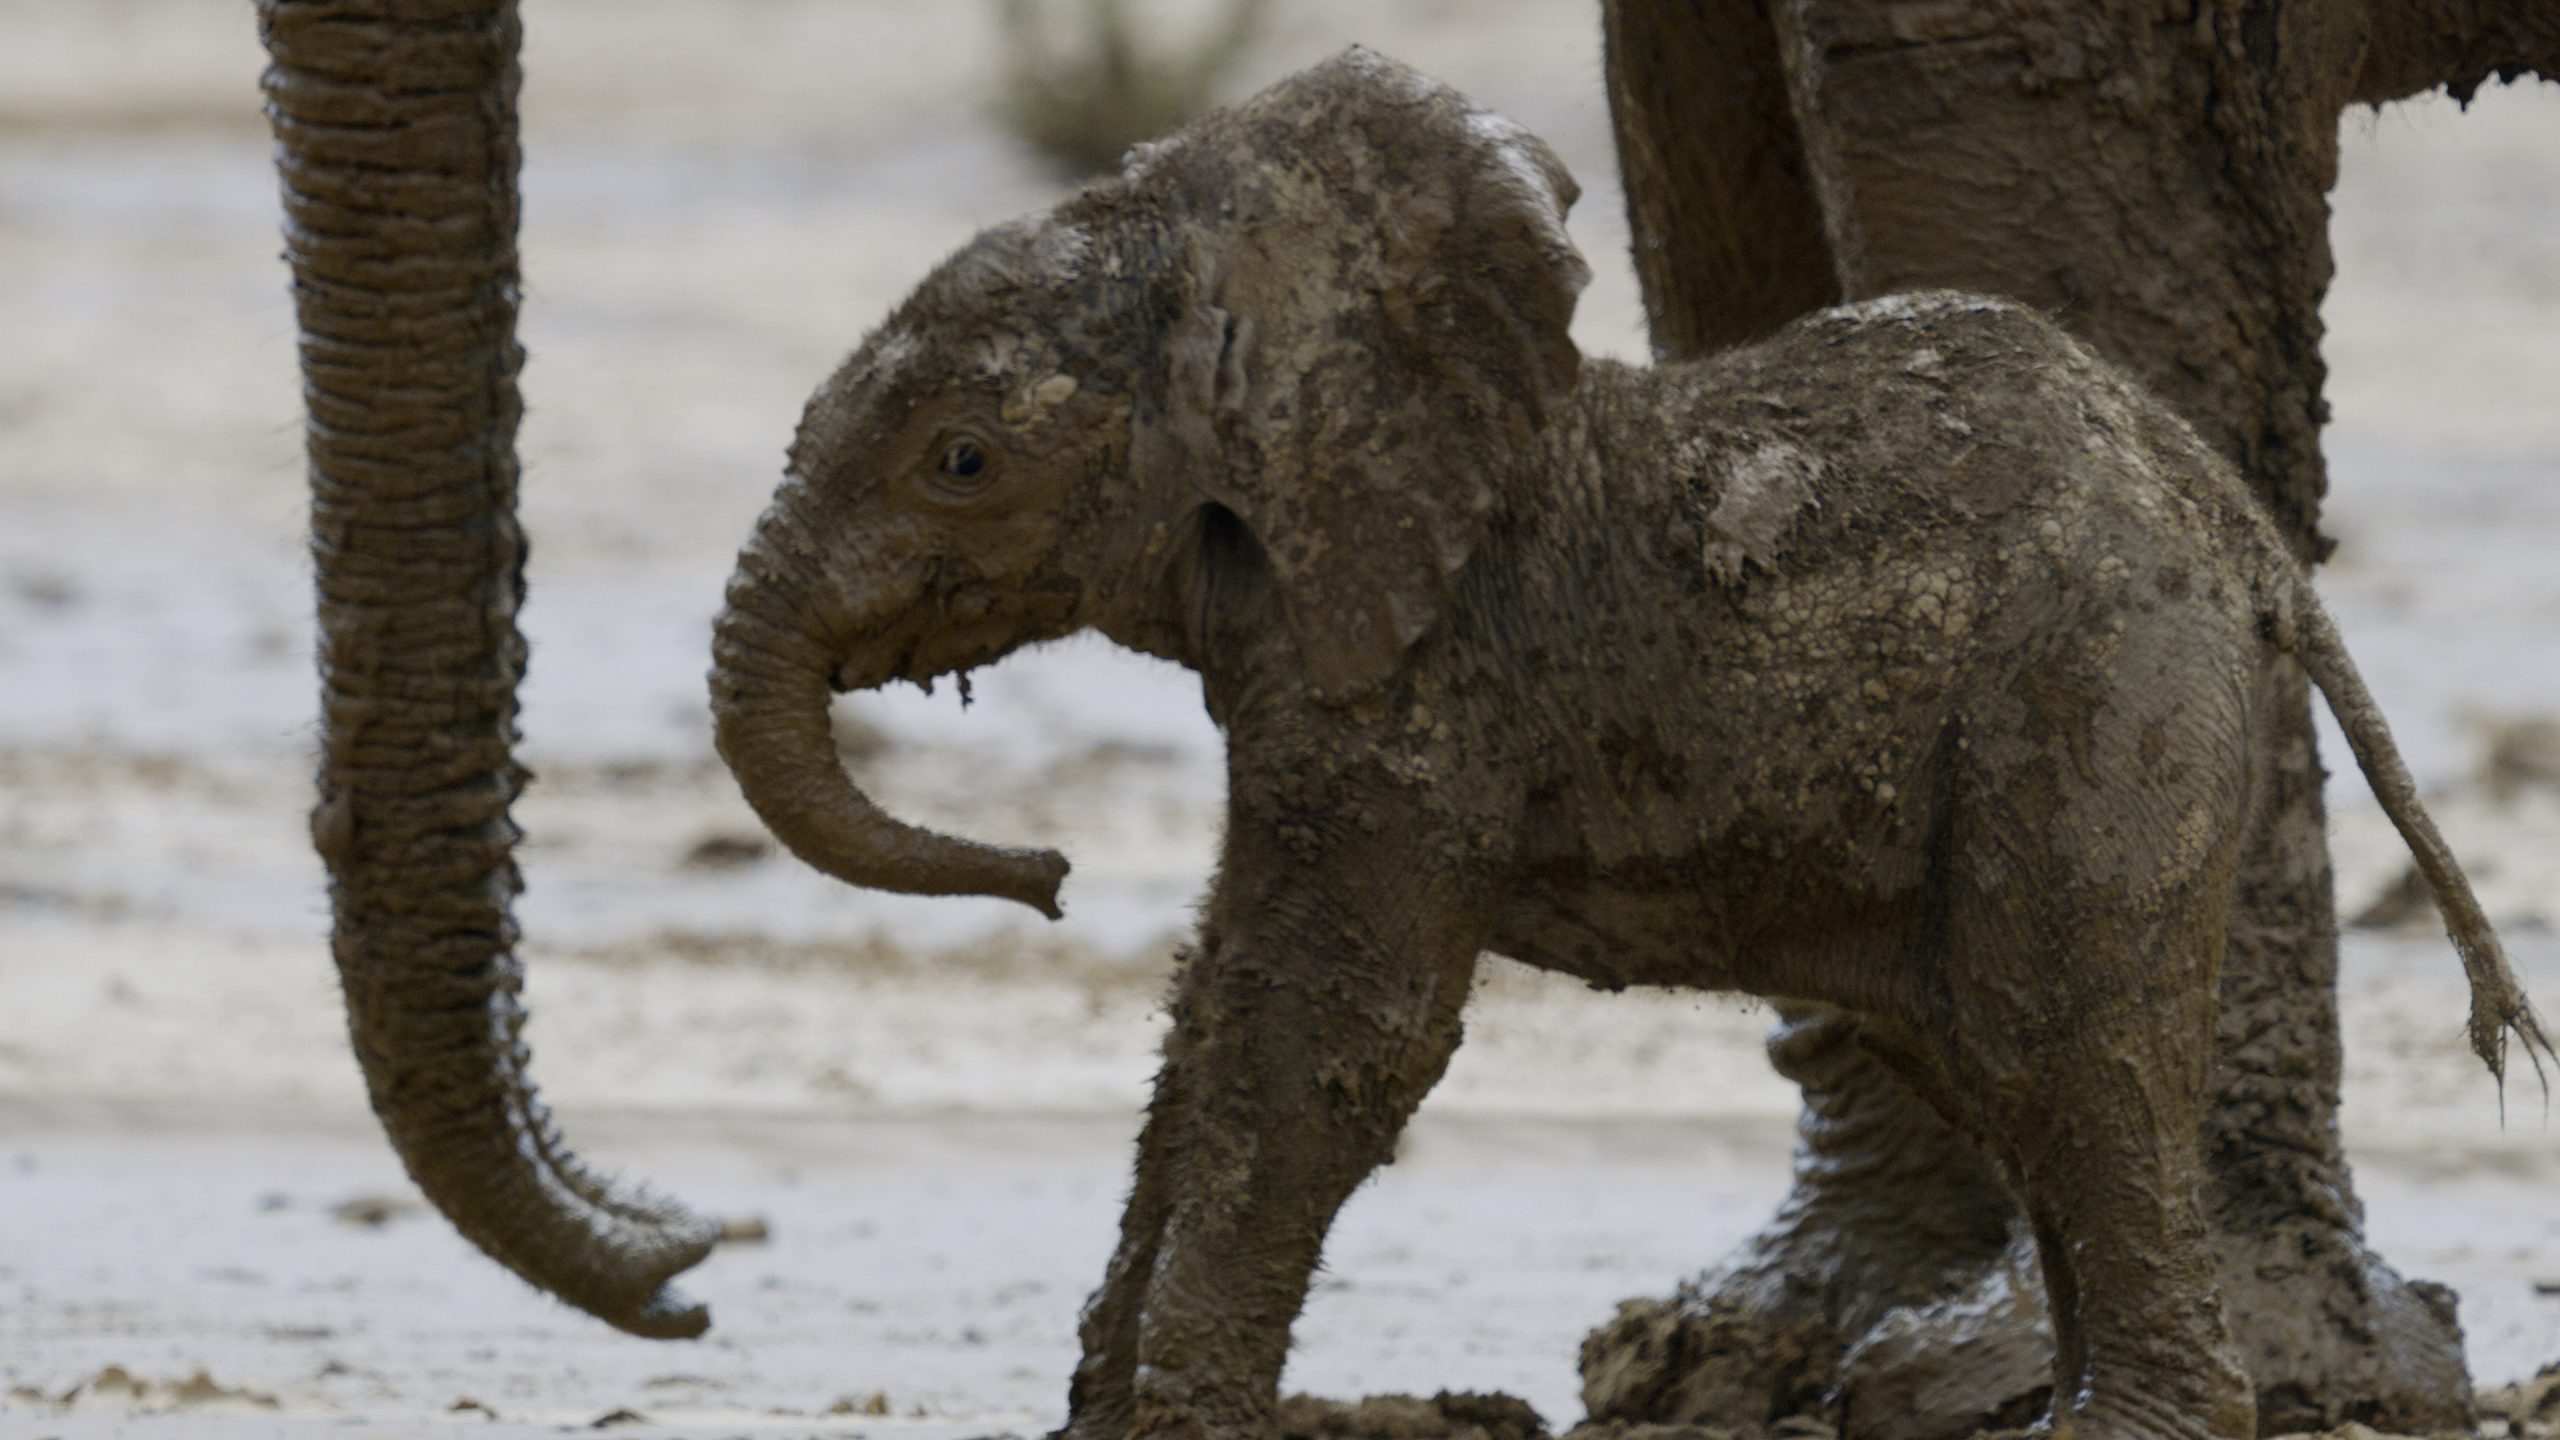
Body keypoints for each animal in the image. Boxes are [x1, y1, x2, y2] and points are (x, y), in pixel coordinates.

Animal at [701, 50, 2539, 1434]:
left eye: (961, 462)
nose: (1056, 876)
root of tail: (2241, 536)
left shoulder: (1422, 682)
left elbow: (1331, 1038)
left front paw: (1178, 1419)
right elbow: (1217, 1004)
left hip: (2101, 696)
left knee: (2057, 1047)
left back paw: (2121, 1427)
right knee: (2011, 1067)